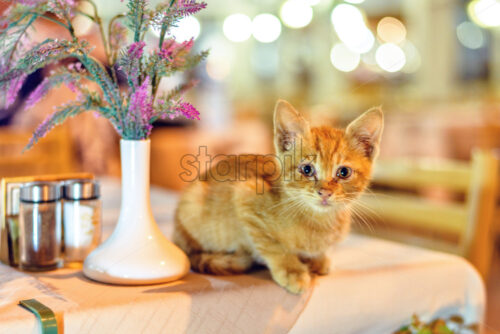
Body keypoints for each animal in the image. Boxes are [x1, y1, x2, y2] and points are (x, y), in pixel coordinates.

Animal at [174, 100, 384, 294]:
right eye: (306, 169)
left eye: (344, 172)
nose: (325, 192)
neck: (318, 221)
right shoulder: (245, 194)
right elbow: (272, 245)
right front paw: (292, 270)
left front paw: (318, 259)